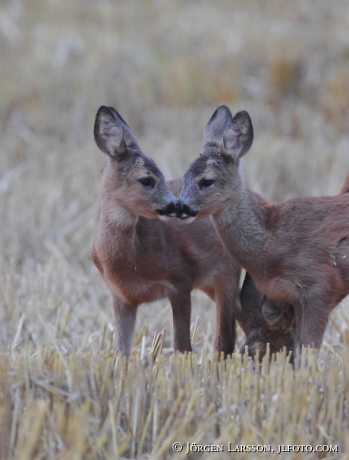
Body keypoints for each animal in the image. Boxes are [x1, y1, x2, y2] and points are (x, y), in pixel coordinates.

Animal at [92, 106, 270, 358]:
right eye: (146, 180)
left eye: (163, 177)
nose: (176, 206)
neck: (131, 262)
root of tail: (259, 200)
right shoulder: (120, 296)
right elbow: (120, 352)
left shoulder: (180, 279)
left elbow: (182, 346)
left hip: (227, 272)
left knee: (226, 337)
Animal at [174, 106, 349, 352]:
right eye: (184, 177)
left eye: (206, 181)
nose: (181, 208)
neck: (271, 243)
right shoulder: (292, 299)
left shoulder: (321, 285)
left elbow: (307, 350)